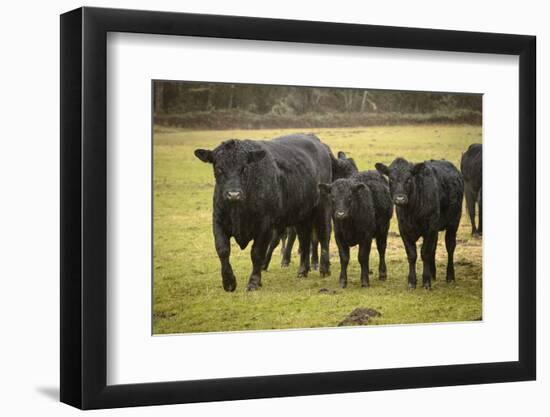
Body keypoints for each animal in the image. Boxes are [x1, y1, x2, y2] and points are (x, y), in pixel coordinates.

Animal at [195, 132, 332, 290]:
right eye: (218, 168)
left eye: (244, 167)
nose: (233, 194)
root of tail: (315, 140)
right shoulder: (218, 222)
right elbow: (222, 250)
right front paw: (229, 281)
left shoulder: (265, 226)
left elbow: (257, 253)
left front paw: (254, 282)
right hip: (301, 215)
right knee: (304, 239)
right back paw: (302, 271)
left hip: (322, 208)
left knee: (323, 234)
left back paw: (324, 269)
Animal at [376, 158, 466, 290]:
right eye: (391, 179)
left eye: (409, 179)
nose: (399, 199)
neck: (412, 211)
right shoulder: (404, 229)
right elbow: (412, 254)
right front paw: (412, 281)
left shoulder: (430, 228)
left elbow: (425, 253)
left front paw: (426, 281)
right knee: (434, 248)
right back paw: (433, 273)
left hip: (454, 222)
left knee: (450, 246)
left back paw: (450, 276)